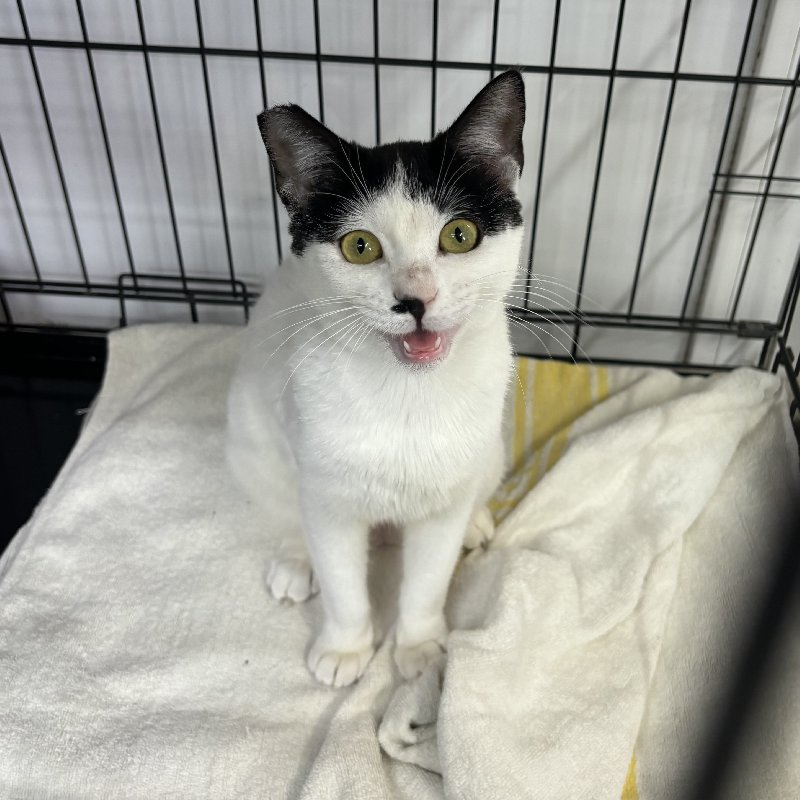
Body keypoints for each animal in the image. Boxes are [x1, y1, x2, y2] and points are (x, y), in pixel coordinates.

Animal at [226, 70, 526, 687]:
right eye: (359, 246)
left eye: (460, 234)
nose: (416, 299)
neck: (407, 393)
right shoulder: (328, 497)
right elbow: (341, 581)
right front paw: (345, 648)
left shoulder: (442, 501)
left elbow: (428, 580)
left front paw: (419, 646)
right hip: (249, 437)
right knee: (285, 506)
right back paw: (294, 560)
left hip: (491, 449)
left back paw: (476, 523)